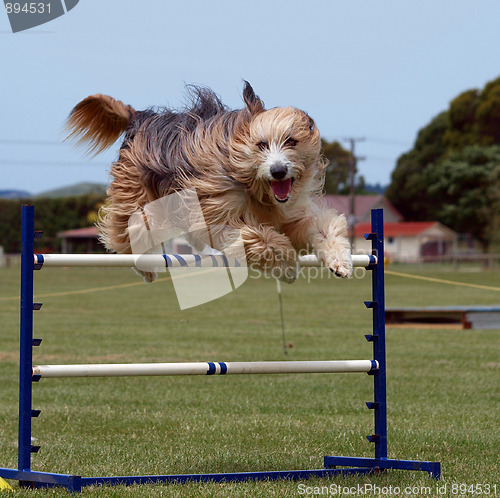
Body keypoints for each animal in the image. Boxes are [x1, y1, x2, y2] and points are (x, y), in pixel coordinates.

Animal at [66, 83, 354, 282]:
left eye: (291, 141)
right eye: (261, 144)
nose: (278, 171)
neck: (255, 187)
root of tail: (140, 117)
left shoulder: (290, 215)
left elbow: (320, 226)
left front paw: (339, 260)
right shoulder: (216, 210)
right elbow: (257, 237)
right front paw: (286, 267)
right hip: (135, 195)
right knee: (128, 231)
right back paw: (146, 268)